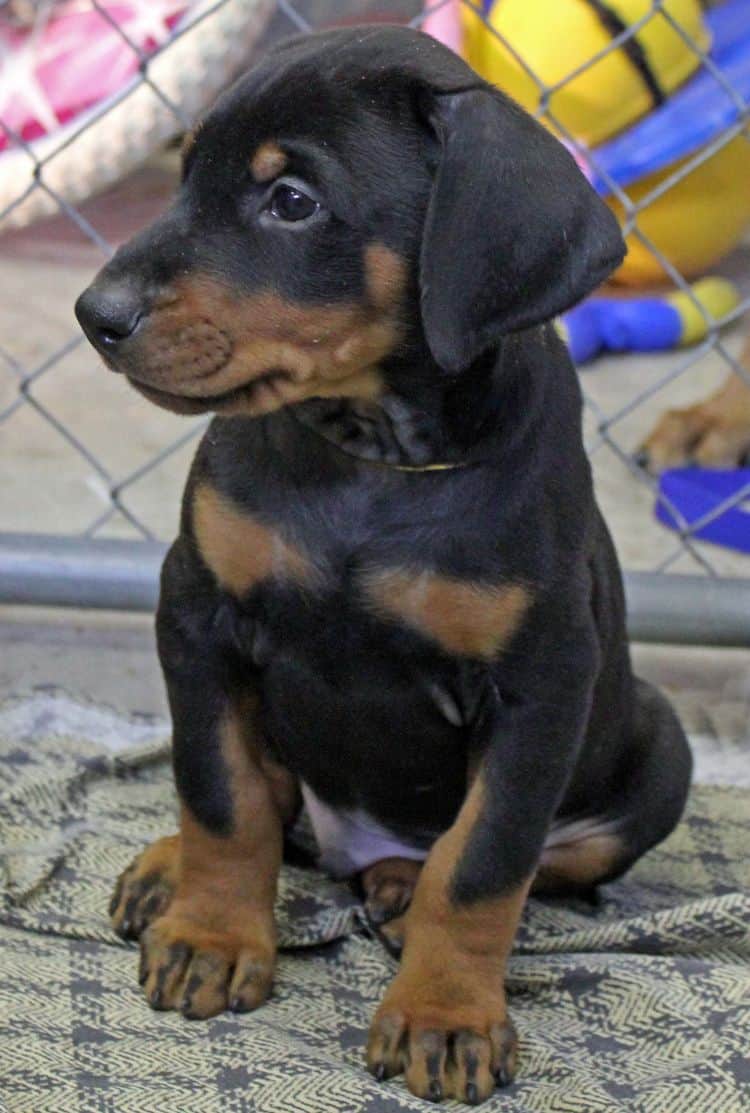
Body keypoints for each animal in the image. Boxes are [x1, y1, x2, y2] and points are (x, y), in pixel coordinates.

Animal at [74, 23, 689, 1104]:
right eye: (183, 174)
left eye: (292, 200)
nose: (95, 314)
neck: (375, 455)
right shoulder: (196, 610)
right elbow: (219, 792)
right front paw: (209, 935)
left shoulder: (542, 682)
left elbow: (484, 862)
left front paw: (447, 1015)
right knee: (272, 803)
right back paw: (166, 868)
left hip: (661, 746)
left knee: (527, 857)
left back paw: (400, 888)